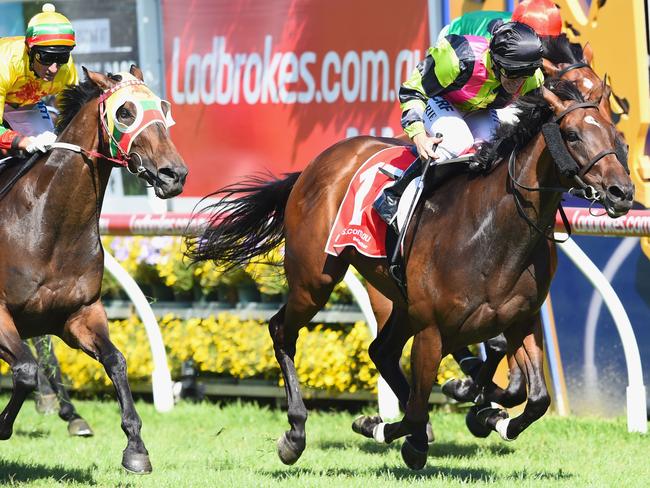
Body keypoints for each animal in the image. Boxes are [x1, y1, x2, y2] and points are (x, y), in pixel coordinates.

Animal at [0, 65, 185, 472]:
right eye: (126, 112)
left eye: (163, 108)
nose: (174, 174)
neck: (49, 226)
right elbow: (25, 370)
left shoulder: (79, 315)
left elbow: (116, 361)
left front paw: (136, 447)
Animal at [186, 79, 628, 468]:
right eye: (572, 135)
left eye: (615, 134)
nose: (622, 192)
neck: (494, 230)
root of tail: (316, 164)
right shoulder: (432, 328)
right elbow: (418, 409)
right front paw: (394, 428)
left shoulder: (521, 317)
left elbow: (534, 398)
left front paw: (485, 413)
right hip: (316, 281)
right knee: (283, 331)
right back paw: (296, 434)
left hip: (398, 299)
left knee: (381, 351)